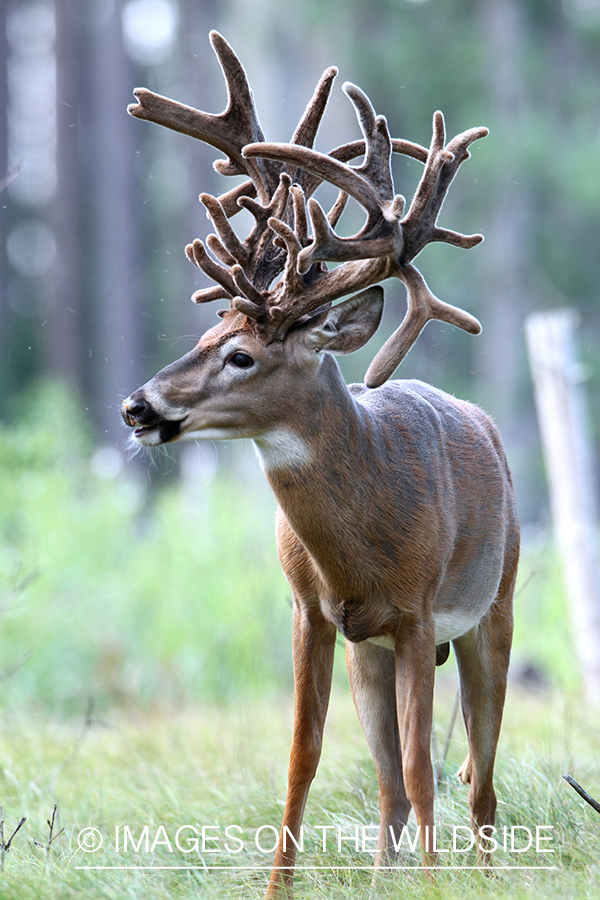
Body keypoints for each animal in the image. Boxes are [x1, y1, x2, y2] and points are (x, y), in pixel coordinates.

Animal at [122, 31, 520, 896]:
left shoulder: (417, 613)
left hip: (494, 605)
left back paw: (479, 871)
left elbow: (425, 768)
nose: (137, 406)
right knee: (391, 786)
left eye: (241, 355)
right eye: (205, 336)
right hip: (370, 649)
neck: (360, 547)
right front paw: (279, 884)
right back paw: (382, 877)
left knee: (478, 773)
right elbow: (304, 759)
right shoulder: (312, 611)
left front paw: (436, 884)